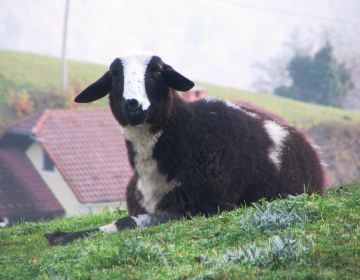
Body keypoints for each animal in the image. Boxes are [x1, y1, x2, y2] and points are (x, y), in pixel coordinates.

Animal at [43, 50, 324, 245]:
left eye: (157, 71)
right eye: (114, 75)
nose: (133, 105)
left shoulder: (202, 209)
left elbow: (125, 221)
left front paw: (63, 236)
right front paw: (61, 234)